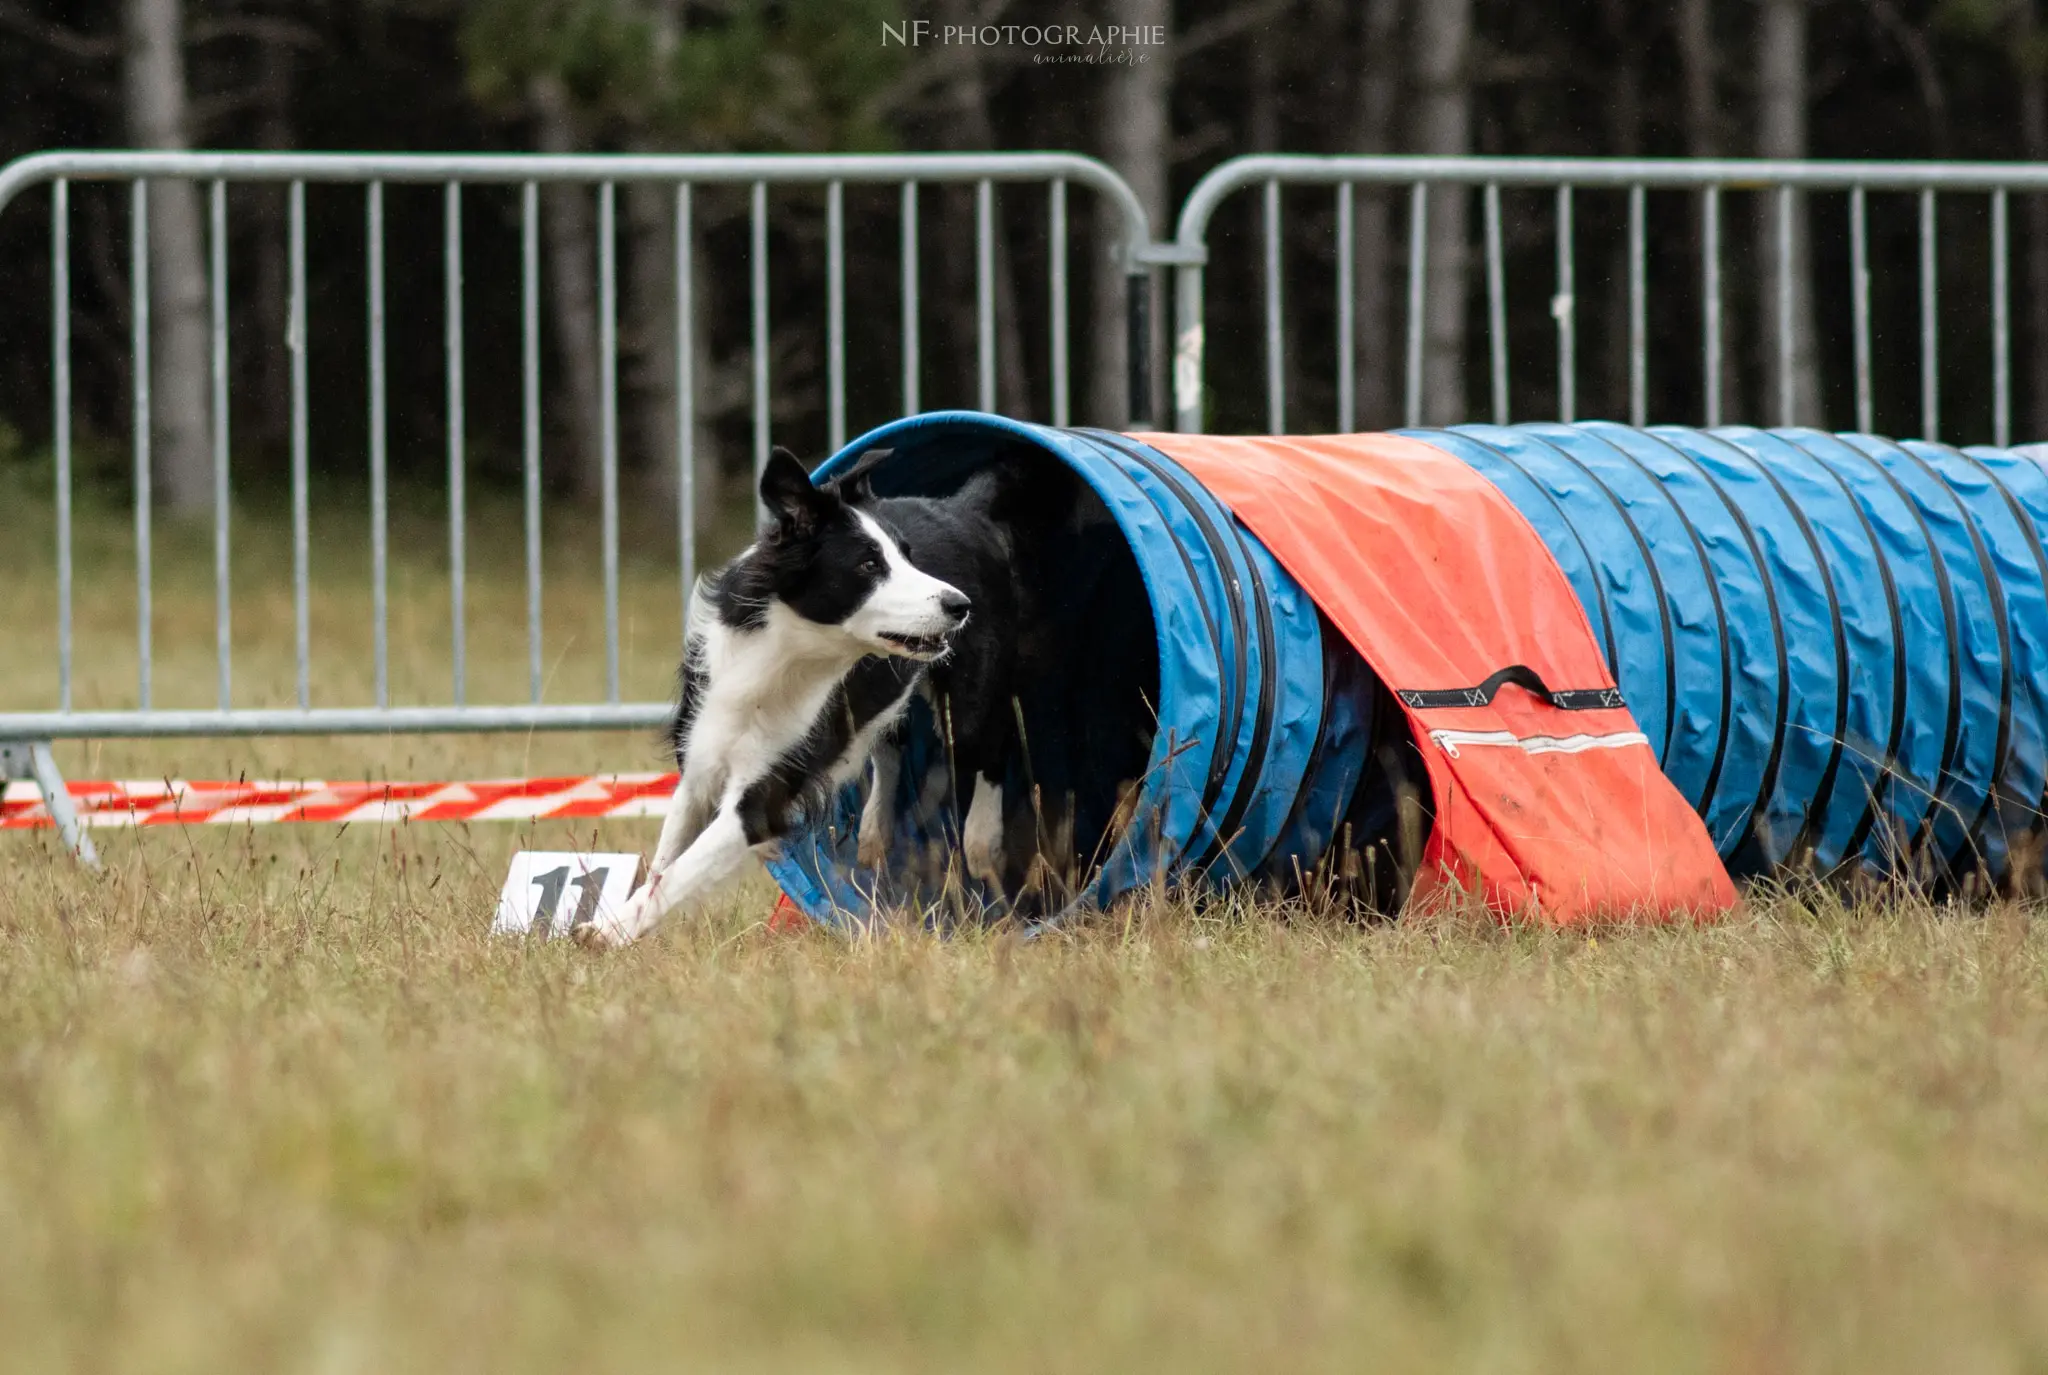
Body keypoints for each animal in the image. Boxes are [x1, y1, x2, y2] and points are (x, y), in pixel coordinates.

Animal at [585, 448, 1048, 946]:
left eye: (908, 557)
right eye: (869, 565)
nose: (959, 605)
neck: (784, 648)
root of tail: (965, 508)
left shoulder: (762, 796)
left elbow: (679, 873)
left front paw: (605, 933)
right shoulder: (700, 763)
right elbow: (664, 863)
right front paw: (611, 926)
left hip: (970, 702)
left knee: (996, 746)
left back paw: (983, 842)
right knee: (891, 741)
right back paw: (874, 834)